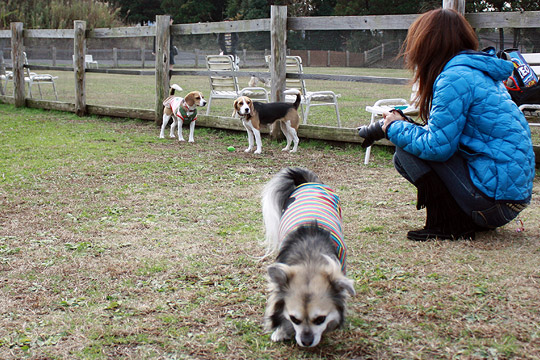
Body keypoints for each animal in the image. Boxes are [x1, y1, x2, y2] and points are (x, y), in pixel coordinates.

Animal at [260, 167, 354, 348]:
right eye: (294, 319)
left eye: (320, 319)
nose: (306, 342)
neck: (310, 259)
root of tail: (308, 182)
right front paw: (282, 330)